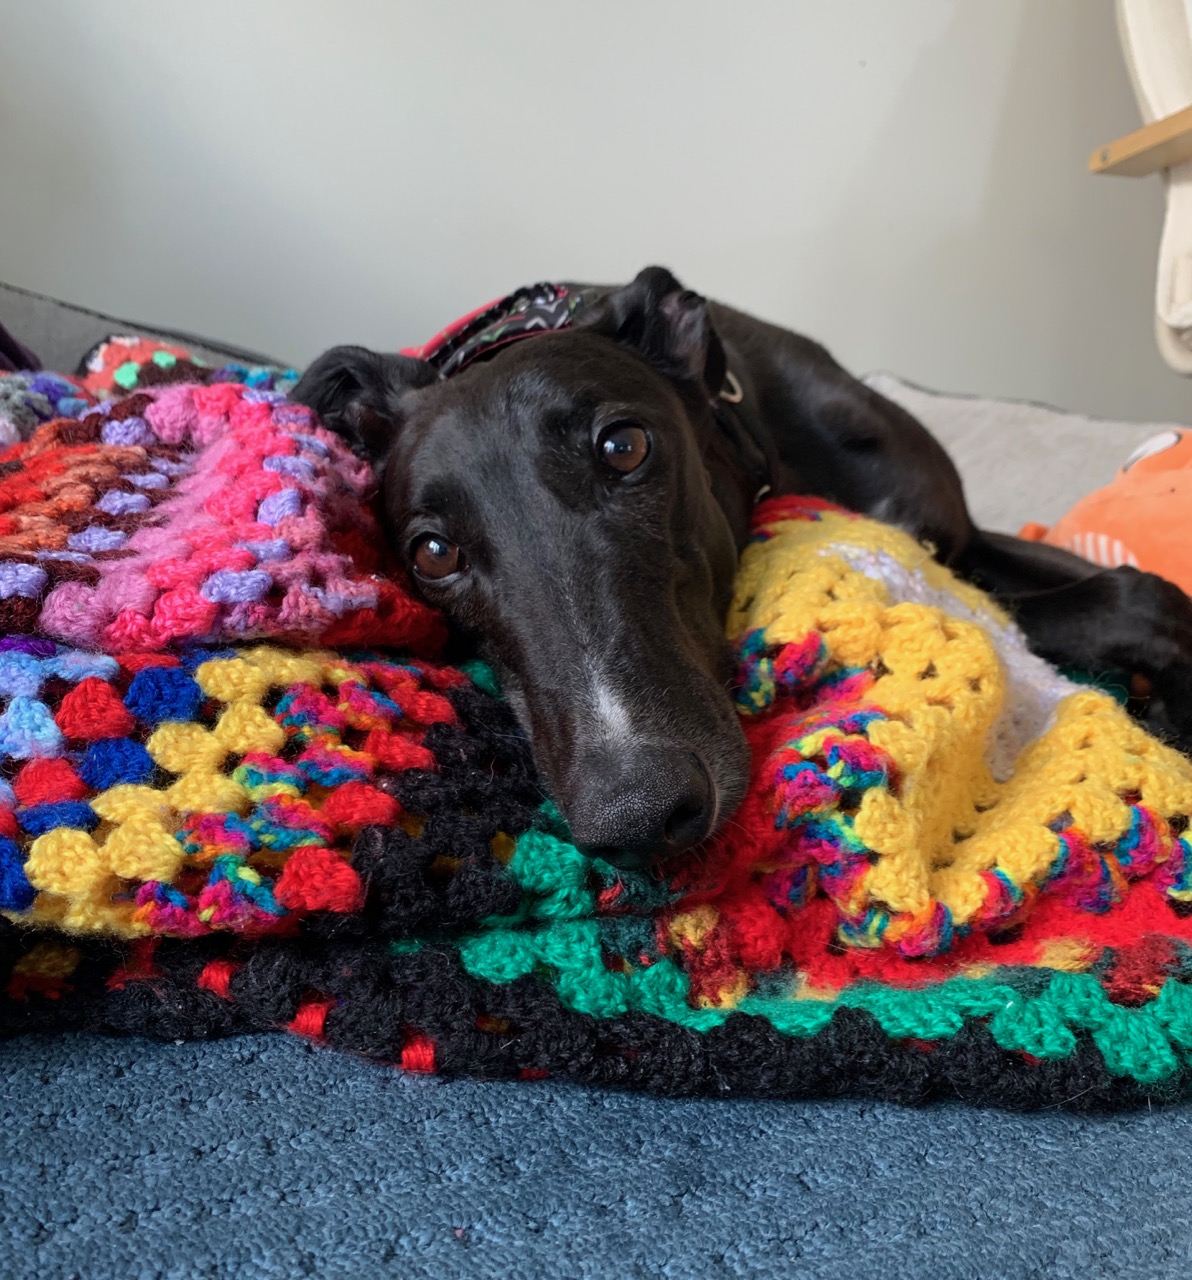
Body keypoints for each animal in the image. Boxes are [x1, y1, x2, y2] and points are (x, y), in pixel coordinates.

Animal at [294, 266, 1192, 869]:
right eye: (432, 553)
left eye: (624, 446)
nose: (638, 816)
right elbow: (1119, 595)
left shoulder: (965, 538)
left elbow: (1114, 582)